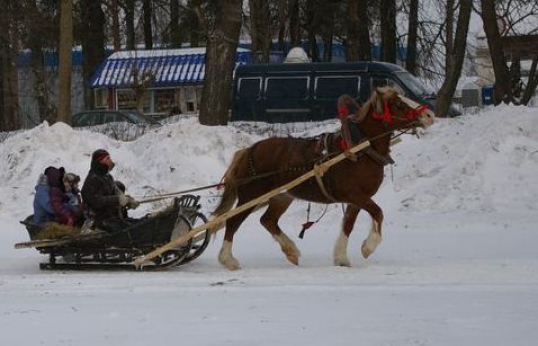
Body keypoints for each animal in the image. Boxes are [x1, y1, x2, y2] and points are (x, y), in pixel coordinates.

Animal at [210, 87, 432, 270]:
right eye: (398, 104)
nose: (429, 115)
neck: (360, 149)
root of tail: (248, 150)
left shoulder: (356, 199)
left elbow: (348, 224)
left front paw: (341, 257)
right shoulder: (355, 195)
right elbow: (378, 213)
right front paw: (368, 247)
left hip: (282, 196)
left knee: (267, 220)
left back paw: (291, 251)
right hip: (251, 196)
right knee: (232, 221)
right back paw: (228, 260)